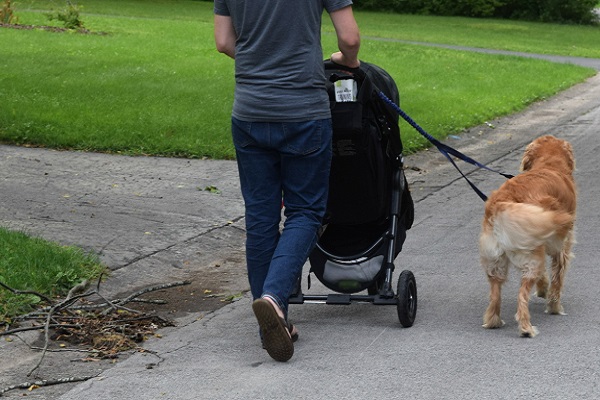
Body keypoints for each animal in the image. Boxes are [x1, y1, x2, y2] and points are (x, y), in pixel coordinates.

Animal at [480, 135, 576, 338]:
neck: (549, 165)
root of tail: (501, 202)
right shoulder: (562, 248)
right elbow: (557, 281)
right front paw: (554, 307)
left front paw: (543, 289)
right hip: (531, 260)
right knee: (521, 296)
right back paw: (526, 328)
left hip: (496, 262)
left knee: (495, 295)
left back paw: (493, 321)